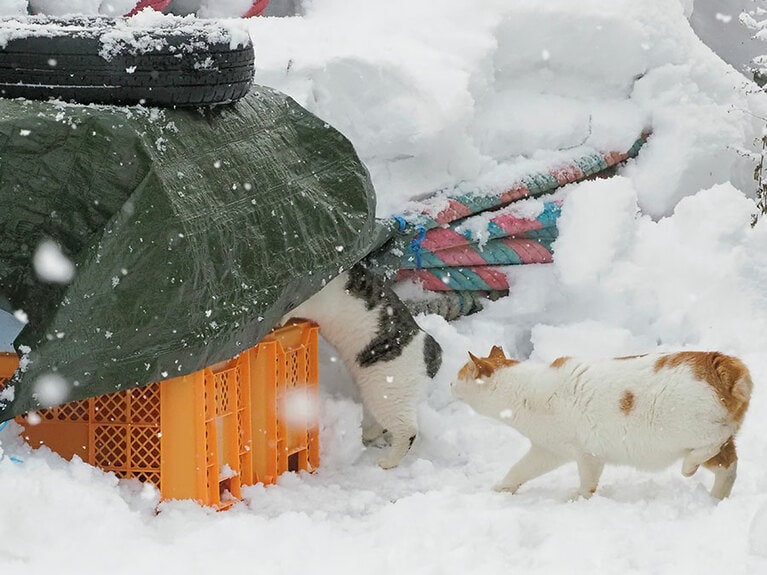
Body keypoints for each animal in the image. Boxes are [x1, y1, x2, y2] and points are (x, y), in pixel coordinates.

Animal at [284, 264, 440, 470]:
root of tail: (433, 353)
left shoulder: (313, 302)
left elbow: (291, 311)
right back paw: (370, 434)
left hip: (387, 392)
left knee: (407, 429)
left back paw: (388, 461)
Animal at [452, 346, 752, 500]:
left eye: (458, 375)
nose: (449, 384)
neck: (523, 390)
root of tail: (721, 361)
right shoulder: (547, 450)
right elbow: (519, 469)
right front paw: (502, 490)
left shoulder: (587, 454)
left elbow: (587, 484)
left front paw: (578, 499)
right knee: (729, 467)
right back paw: (715, 499)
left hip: (692, 431)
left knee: (712, 444)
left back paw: (689, 467)